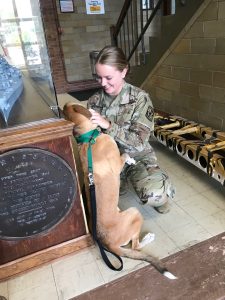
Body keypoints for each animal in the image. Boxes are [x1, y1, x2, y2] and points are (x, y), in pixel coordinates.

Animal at [62, 102, 176, 278]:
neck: (89, 138)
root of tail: (109, 245)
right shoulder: (116, 164)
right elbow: (124, 154)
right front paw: (130, 159)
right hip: (135, 212)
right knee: (136, 246)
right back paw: (148, 238)